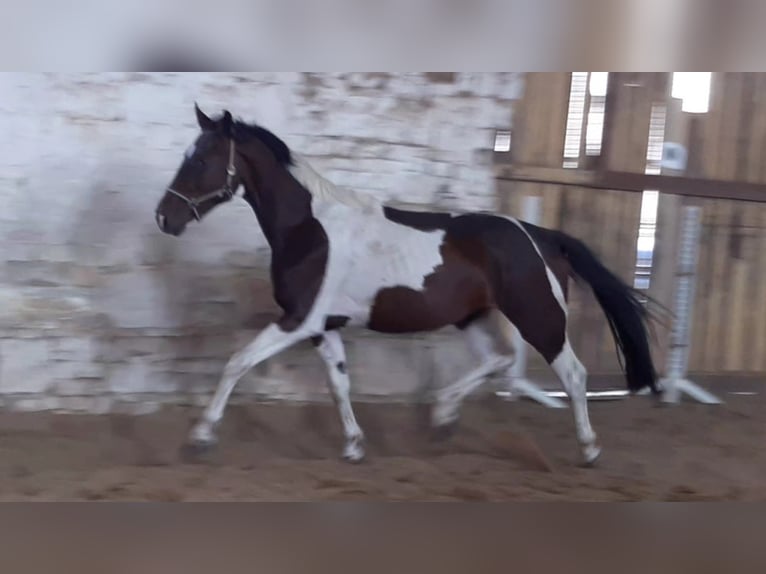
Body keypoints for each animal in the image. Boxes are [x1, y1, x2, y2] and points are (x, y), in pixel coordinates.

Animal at [154, 104, 661, 467]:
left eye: (202, 159)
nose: (164, 218)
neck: (310, 229)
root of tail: (543, 236)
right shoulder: (324, 326)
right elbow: (339, 384)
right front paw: (355, 446)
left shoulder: (298, 320)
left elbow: (236, 364)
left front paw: (199, 439)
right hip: (472, 317)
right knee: (498, 360)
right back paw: (442, 418)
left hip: (539, 317)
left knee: (573, 374)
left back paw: (589, 448)